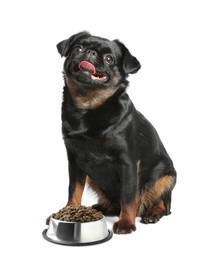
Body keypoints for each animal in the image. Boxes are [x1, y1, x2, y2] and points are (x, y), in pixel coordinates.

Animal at [56, 31, 177, 235]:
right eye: (78, 48)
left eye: (109, 58)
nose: (90, 52)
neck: (89, 107)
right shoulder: (74, 160)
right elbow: (74, 189)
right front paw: (69, 210)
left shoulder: (127, 162)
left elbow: (128, 196)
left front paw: (126, 223)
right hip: (92, 177)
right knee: (114, 202)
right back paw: (102, 207)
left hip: (165, 177)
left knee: (162, 204)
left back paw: (152, 213)